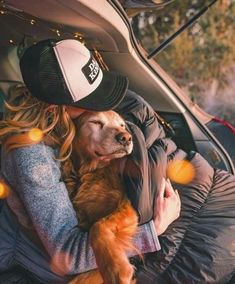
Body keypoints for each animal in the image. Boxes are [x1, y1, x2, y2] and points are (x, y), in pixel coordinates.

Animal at [66, 110, 139, 284]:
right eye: (96, 122)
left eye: (122, 125)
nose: (126, 137)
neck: (91, 171)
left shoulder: (126, 206)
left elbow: (98, 225)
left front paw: (115, 268)